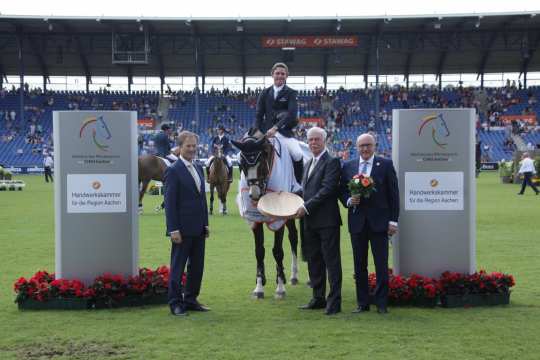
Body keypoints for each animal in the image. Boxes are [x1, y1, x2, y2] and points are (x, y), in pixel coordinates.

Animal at [231, 128, 302, 300]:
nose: (254, 194)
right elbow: (259, 251)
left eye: (262, 161)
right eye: (241, 164)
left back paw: (293, 275)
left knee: (293, 237)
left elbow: (277, 251)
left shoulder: (279, 219)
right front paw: (259, 286)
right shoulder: (255, 220)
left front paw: (280, 288)